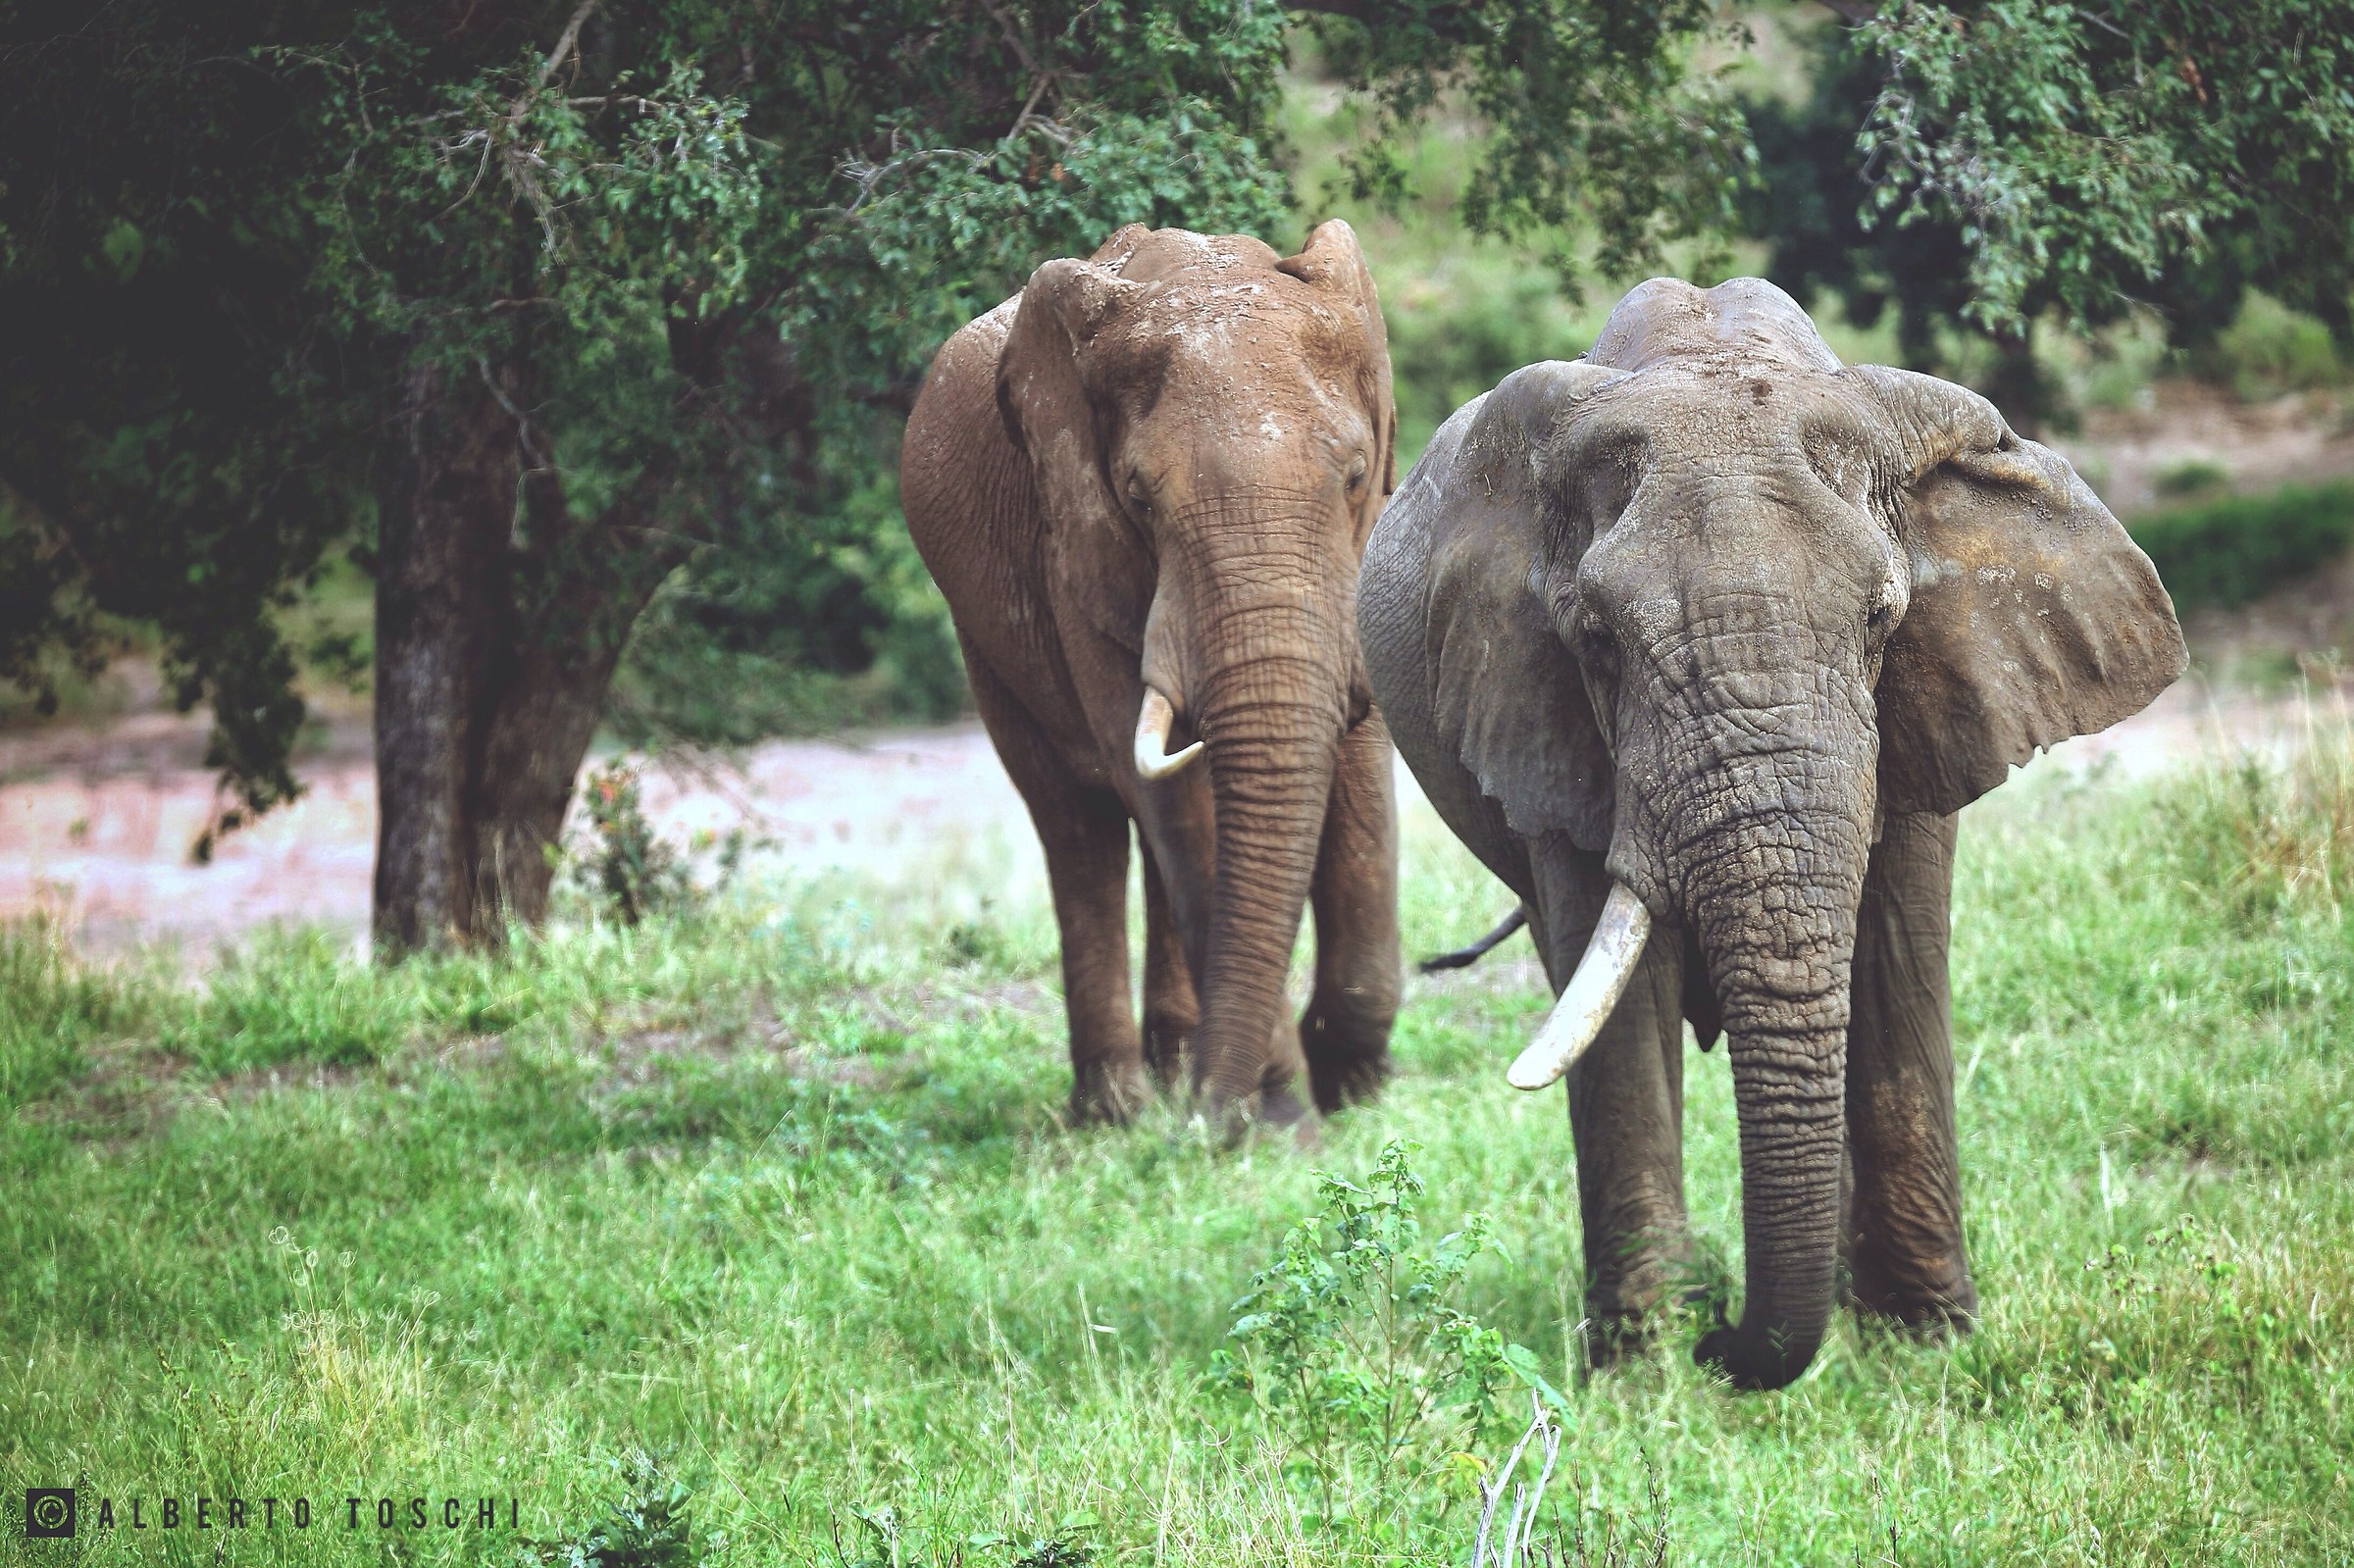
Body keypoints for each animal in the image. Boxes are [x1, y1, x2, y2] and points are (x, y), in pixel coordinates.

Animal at [901, 222, 1402, 1130]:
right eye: (1138, 498)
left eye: (1353, 474)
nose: (1223, 1111)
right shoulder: (1075, 551)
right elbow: (1178, 808)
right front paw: (1274, 1121)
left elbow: (1358, 772)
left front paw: (1353, 1087)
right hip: (982, 638)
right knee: (1081, 826)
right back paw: (1120, 1111)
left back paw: (1173, 1077)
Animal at [1358, 277, 2185, 1389]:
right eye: (1597, 643)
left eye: (1882, 620)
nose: (1723, 1335)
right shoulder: (1544, 720)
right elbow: (1617, 1005)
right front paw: (1645, 1374)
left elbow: (1896, 959)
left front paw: (1926, 1340)